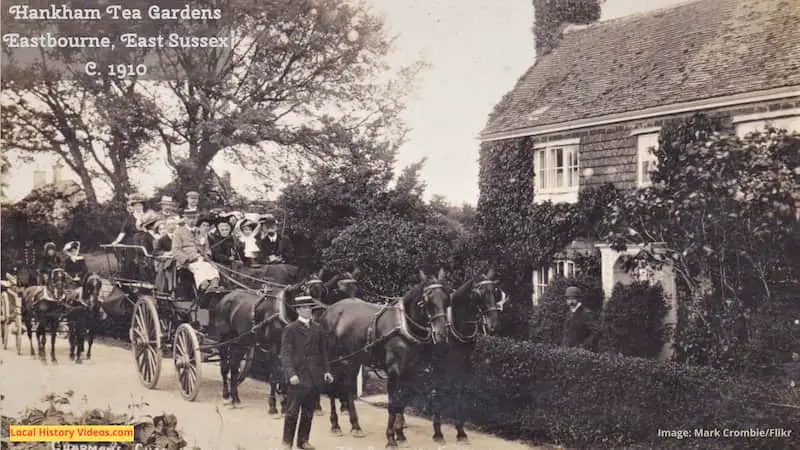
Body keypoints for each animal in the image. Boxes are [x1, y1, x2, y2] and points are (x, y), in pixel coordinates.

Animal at [322, 268, 454, 446]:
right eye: (427, 300)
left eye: (446, 299)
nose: (441, 333)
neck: (405, 326)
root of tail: (330, 310)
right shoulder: (394, 370)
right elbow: (393, 403)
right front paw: (391, 437)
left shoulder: (409, 371)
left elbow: (402, 403)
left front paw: (400, 435)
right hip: (333, 357)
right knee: (331, 387)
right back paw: (335, 424)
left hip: (353, 359)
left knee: (348, 388)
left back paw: (356, 426)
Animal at [424, 270, 506, 442]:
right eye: (479, 293)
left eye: (496, 291)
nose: (494, 326)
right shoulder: (440, 366)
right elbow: (440, 392)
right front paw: (438, 431)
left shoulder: (463, 364)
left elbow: (459, 392)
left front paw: (461, 431)